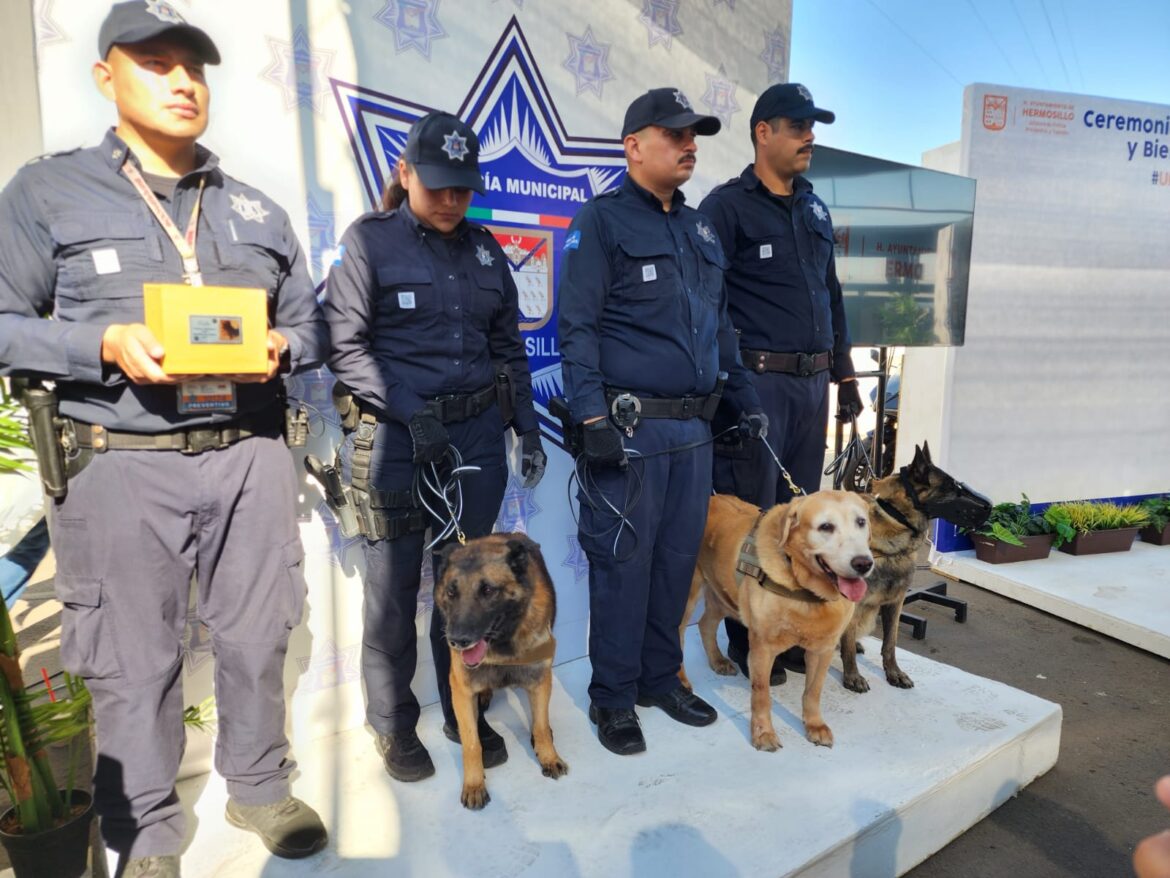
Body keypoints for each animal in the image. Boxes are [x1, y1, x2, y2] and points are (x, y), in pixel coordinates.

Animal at [437, 529, 568, 810]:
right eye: (451, 592)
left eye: (487, 590)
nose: (456, 640)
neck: (502, 644)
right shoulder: (461, 691)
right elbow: (471, 744)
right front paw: (474, 784)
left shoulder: (540, 678)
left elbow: (541, 726)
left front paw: (548, 756)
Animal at [673, 491, 875, 753]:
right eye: (826, 527)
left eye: (861, 522)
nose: (863, 563)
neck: (805, 590)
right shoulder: (762, 649)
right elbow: (761, 695)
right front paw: (763, 733)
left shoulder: (823, 649)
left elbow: (813, 691)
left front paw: (815, 725)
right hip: (686, 596)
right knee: (677, 633)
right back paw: (681, 678)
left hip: (724, 594)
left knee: (705, 623)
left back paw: (717, 661)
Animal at [837, 442, 992, 697]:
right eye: (952, 488)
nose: (990, 506)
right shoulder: (852, 602)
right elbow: (847, 644)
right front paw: (852, 676)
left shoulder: (895, 601)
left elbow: (890, 643)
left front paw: (894, 673)